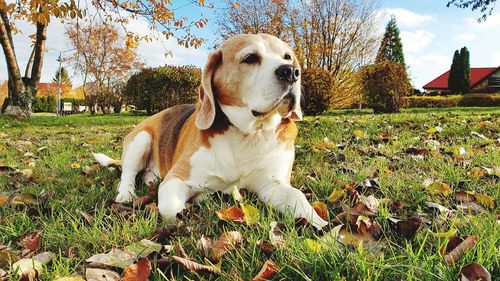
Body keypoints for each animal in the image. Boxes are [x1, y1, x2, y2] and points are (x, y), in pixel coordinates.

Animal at [94, 34, 328, 229]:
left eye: (287, 57)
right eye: (250, 58)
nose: (291, 72)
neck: (247, 133)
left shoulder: (272, 185)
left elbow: (298, 198)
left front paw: (324, 228)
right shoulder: (176, 179)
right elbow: (170, 206)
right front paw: (194, 203)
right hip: (140, 140)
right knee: (128, 174)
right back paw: (126, 194)